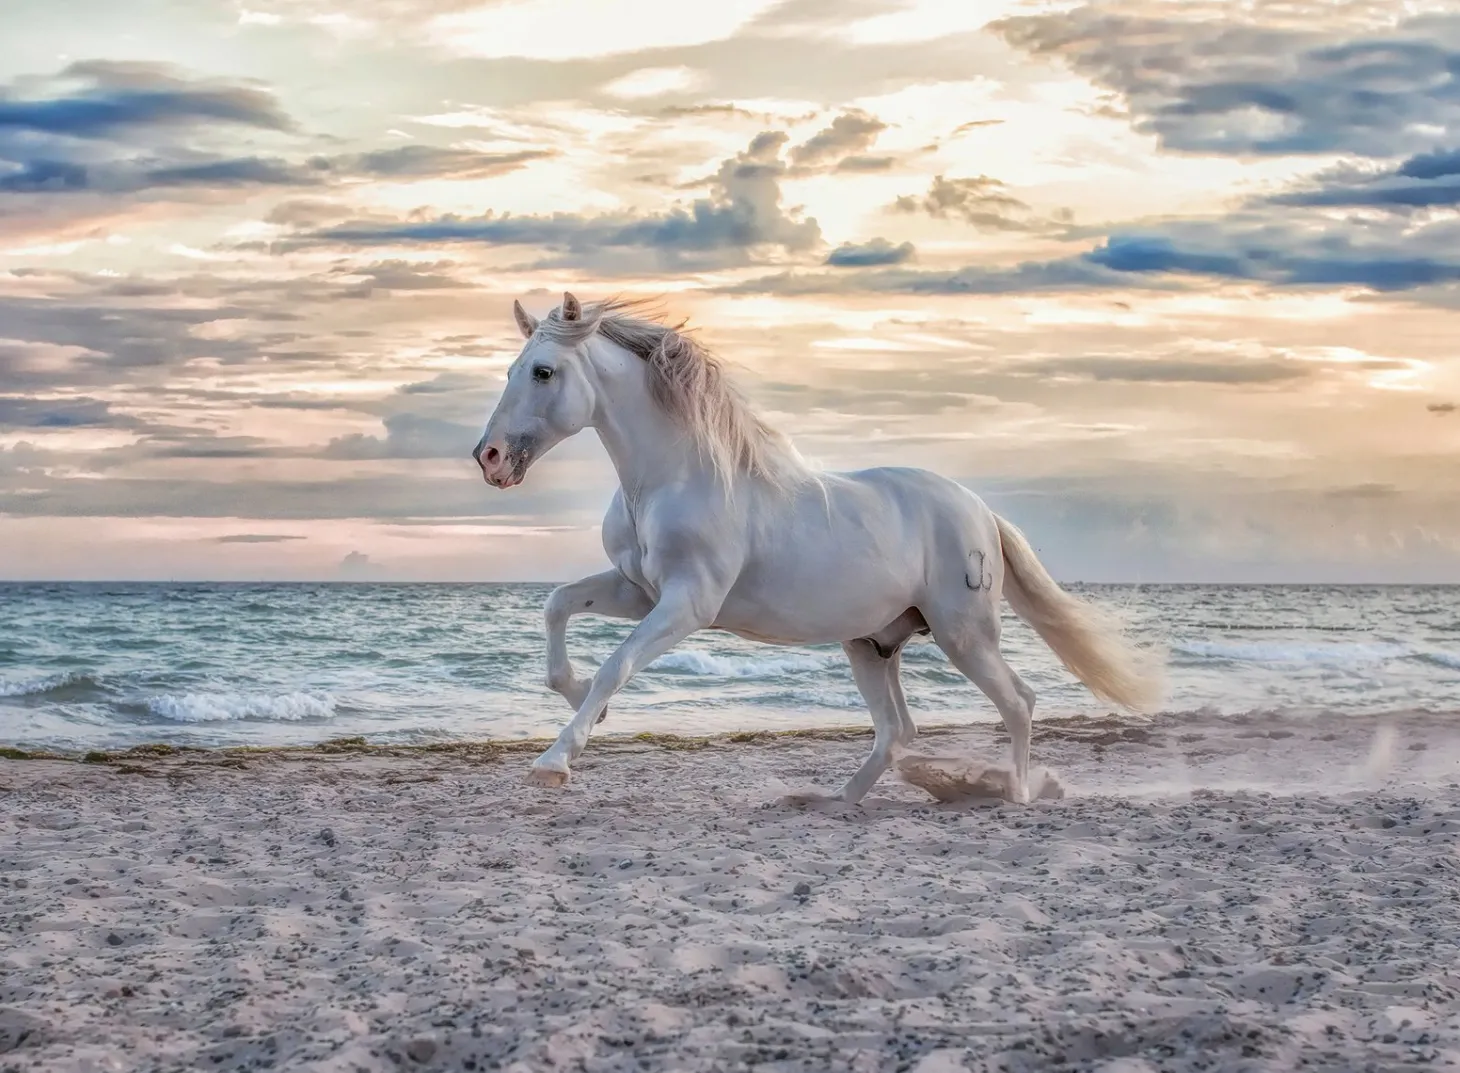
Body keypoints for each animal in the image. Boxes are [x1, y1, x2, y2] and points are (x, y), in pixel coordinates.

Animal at [472, 292, 1164, 803]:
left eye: (543, 371)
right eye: (508, 370)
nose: (490, 458)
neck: (674, 477)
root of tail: (980, 511)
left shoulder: (688, 604)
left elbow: (616, 665)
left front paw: (556, 760)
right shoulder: (638, 591)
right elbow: (558, 607)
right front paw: (578, 702)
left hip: (963, 634)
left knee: (1018, 703)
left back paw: (1015, 796)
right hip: (871, 644)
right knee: (897, 730)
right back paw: (838, 800)